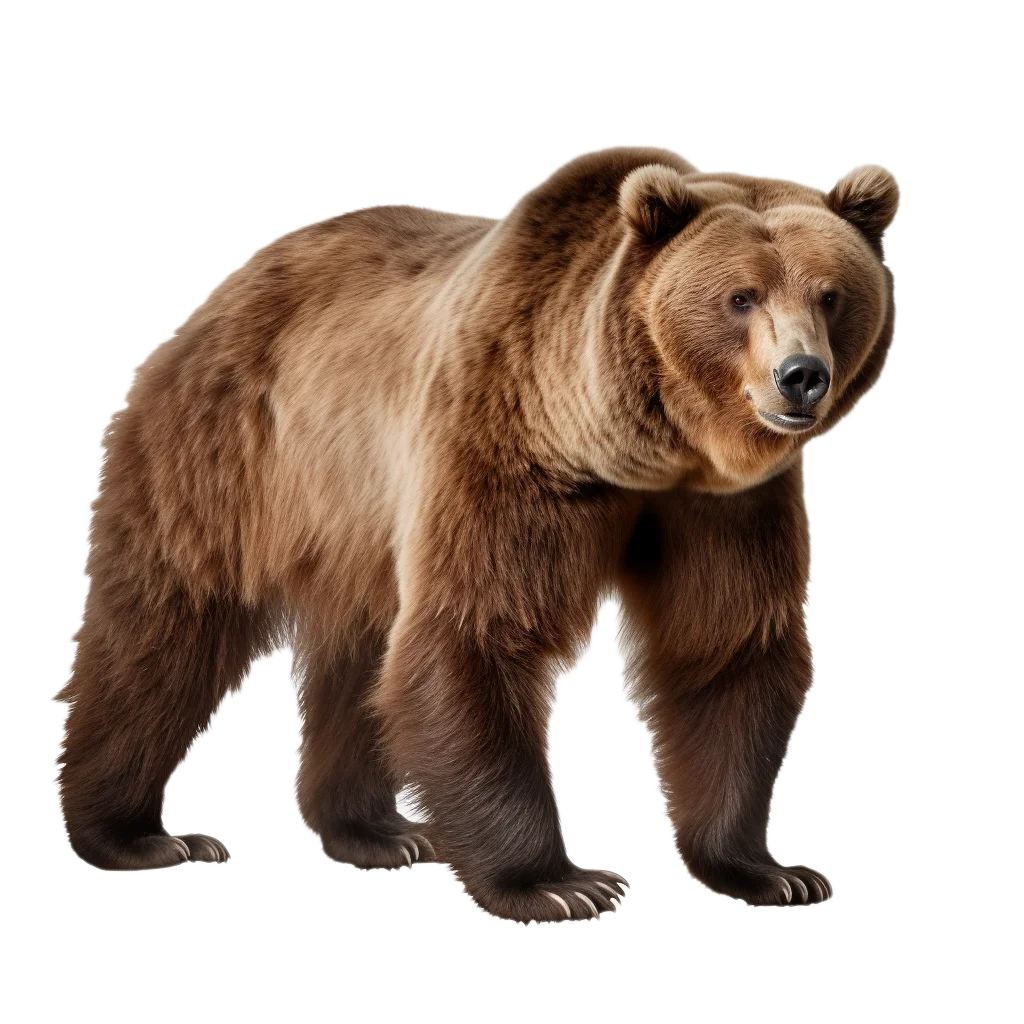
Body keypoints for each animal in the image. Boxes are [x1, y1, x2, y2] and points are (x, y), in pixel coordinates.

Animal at [55, 144, 900, 919]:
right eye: (740, 297)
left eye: (831, 294)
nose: (801, 376)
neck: (635, 447)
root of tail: (216, 295)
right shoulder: (504, 443)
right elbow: (476, 632)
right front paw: (560, 883)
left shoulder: (723, 504)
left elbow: (725, 644)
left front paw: (772, 871)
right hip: (233, 450)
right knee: (165, 627)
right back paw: (139, 835)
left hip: (353, 521)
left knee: (361, 653)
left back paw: (378, 831)